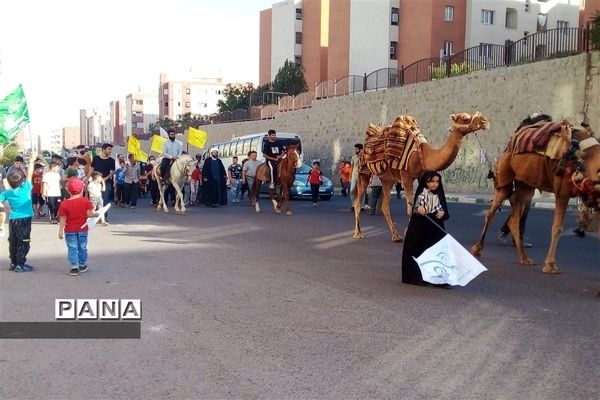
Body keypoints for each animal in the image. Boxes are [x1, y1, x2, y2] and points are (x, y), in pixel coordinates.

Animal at [354, 111, 490, 241]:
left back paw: (396, 236)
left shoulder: (422, 176)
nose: (485, 121)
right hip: (364, 172)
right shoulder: (406, 177)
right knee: (357, 202)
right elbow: (410, 209)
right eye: (465, 118)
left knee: (385, 206)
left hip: (386, 179)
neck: (423, 154)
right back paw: (358, 234)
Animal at [474, 119, 600, 276]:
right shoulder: (562, 192)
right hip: (505, 178)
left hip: (525, 186)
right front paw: (550, 265)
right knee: (491, 213)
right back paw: (477, 249)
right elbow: (557, 227)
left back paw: (525, 259)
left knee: (514, 219)